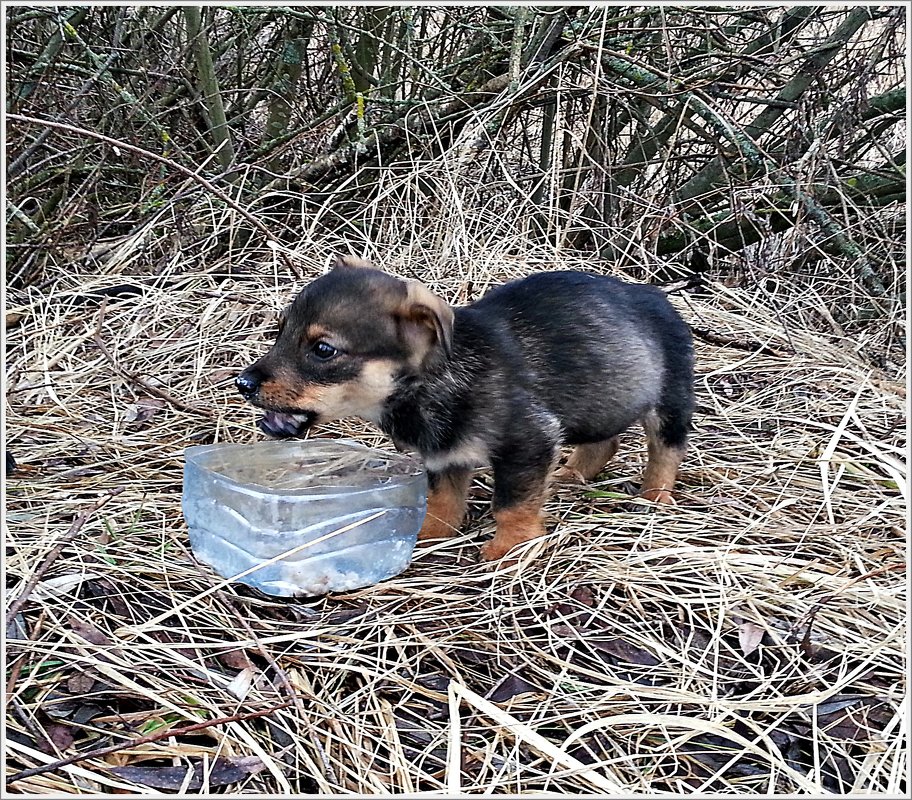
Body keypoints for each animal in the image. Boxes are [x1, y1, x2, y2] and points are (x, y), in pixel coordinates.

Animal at [235, 255, 692, 556]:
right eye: (280, 332)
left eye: (323, 350)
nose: (243, 384)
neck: (432, 381)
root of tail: (652, 294)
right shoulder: (443, 456)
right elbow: (443, 502)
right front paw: (428, 535)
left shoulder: (528, 444)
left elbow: (510, 505)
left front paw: (508, 550)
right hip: (605, 399)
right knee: (605, 442)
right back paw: (572, 475)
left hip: (670, 401)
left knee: (666, 451)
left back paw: (655, 498)